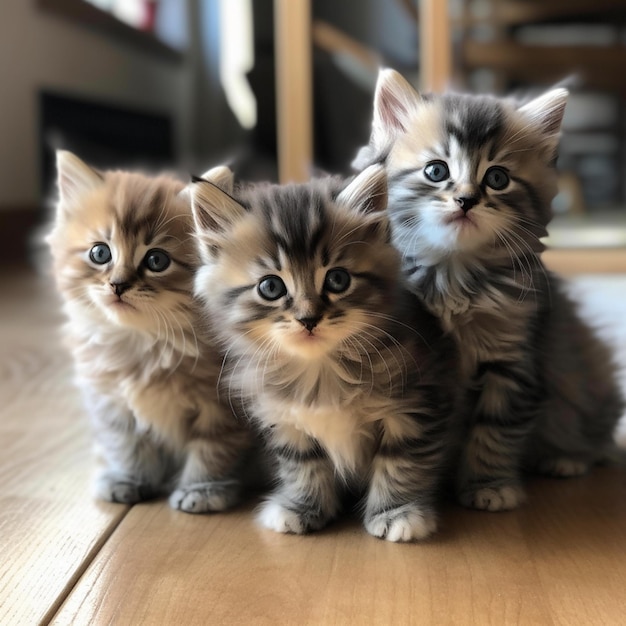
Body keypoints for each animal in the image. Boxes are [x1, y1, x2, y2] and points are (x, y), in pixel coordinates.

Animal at [47, 151, 251, 512]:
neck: (144, 344)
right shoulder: (111, 403)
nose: (117, 285)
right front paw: (128, 479)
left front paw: (203, 490)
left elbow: (214, 449)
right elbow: (125, 444)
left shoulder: (224, 408)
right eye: (100, 253)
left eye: (157, 260)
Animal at [190, 163, 458, 540]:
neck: (320, 370)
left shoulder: (418, 403)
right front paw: (302, 508)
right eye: (270, 287)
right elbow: (303, 465)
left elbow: (401, 461)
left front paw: (397, 513)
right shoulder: (284, 419)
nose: (308, 319)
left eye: (337, 280)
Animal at [354, 68, 620, 510]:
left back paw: (568, 457)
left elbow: (495, 430)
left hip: (587, 370)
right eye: (436, 171)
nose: (466, 200)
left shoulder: (514, 359)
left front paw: (489, 486)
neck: (453, 275)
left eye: (497, 178)